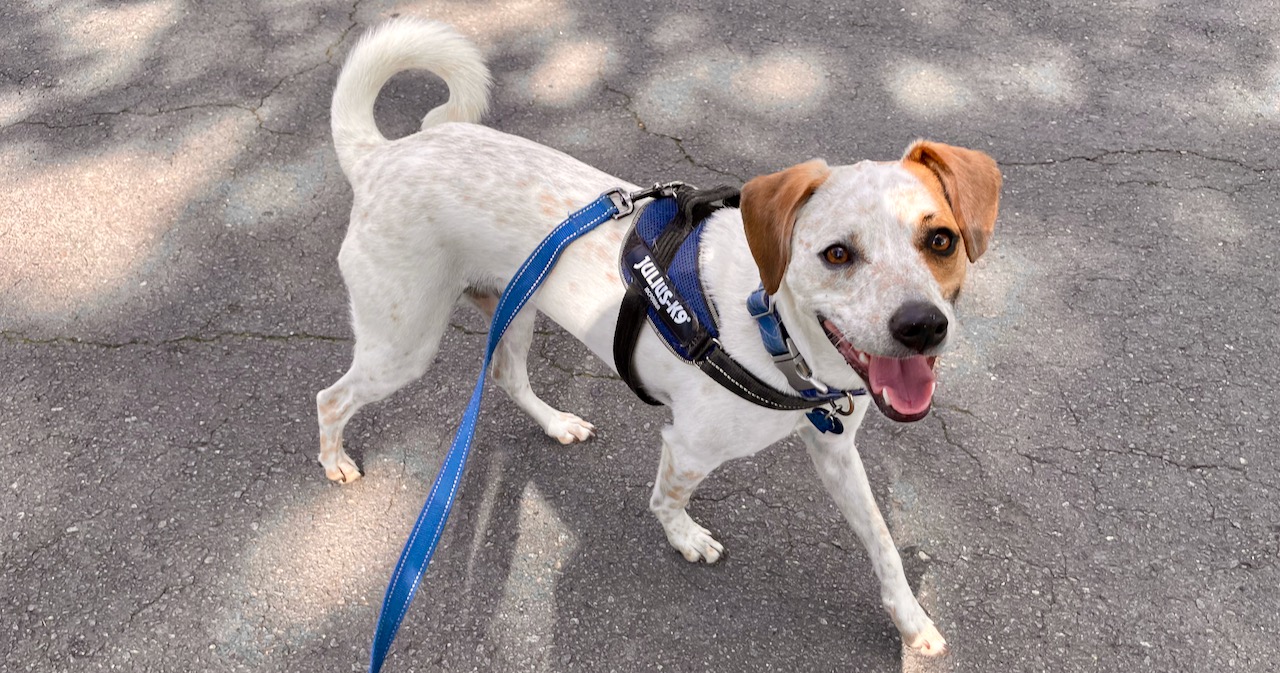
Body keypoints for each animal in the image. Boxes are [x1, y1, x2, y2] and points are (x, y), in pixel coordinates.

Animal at [317, 17, 998, 660]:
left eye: (940, 240)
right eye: (837, 254)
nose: (922, 326)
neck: (776, 331)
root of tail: (379, 157)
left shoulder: (836, 451)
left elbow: (883, 545)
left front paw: (912, 624)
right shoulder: (688, 448)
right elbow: (667, 500)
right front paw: (686, 538)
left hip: (515, 306)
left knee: (507, 375)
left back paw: (557, 423)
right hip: (403, 344)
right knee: (331, 398)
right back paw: (335, 463)